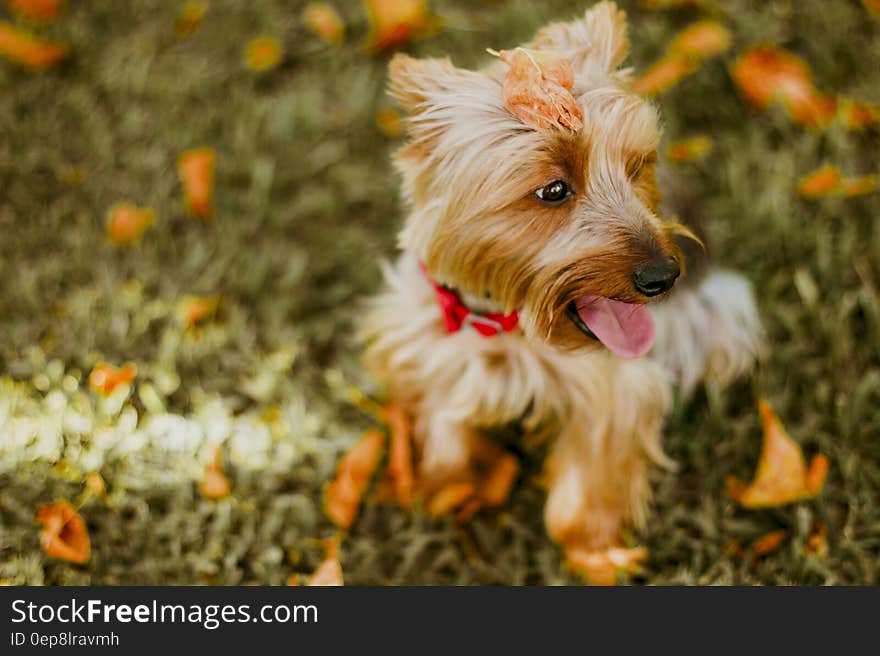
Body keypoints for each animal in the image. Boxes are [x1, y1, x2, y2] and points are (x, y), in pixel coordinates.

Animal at [362, 0, 764, 576]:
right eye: (553, 190)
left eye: (636, 167)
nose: (664, 275)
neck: (504, 321)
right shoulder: (430, 336)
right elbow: (445, 421)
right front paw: (448, 486)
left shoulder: (611, 390)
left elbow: (591, 475)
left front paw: (596, 553)